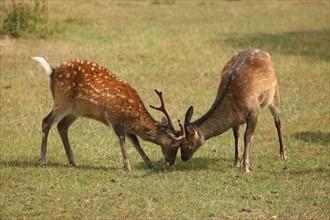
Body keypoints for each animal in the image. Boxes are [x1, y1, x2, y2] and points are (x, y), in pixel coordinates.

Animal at [31, 56, 182, 170]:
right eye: (174, 146)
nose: (170, 162)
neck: (135, 116)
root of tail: (52, 71)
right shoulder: (114, 117)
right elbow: (122, 139)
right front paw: (127, 166)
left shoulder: (128, 128)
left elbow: (136, 143)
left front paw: (150, 164)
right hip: (62, 101)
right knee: (46, 122)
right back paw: (43, 160)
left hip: (75, 110)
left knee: (62, 126)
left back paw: (73, 162)